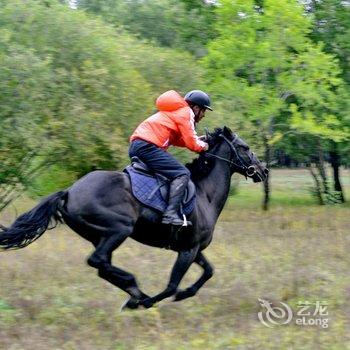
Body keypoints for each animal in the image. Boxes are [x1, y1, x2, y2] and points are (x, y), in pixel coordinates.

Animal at [0, 128, 268, 308]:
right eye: (244, 147)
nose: (263, 170)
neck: (205, 194)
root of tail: (69, 192)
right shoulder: (188, 250)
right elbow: (172, 284)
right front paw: (150, 301)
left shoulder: (193, 249)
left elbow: (209, 271)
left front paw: (182, 294)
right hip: (119, 230)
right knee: (98, 261)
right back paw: (135, 290)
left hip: (99, 236)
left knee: (102, 266)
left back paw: (133, 290)